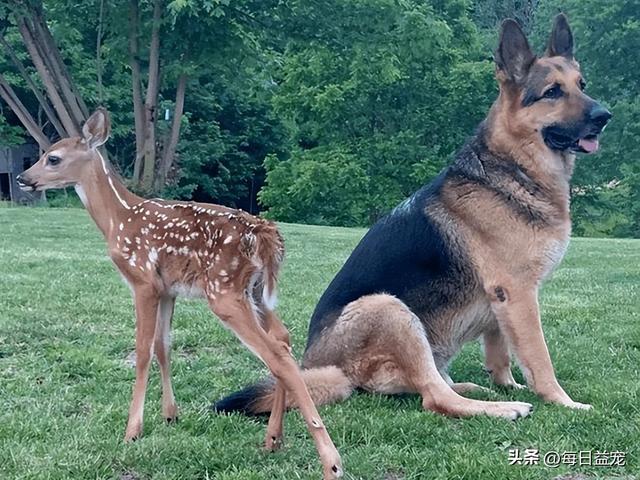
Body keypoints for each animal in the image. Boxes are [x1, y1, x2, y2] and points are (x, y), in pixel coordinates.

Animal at [215, 15, 608, 420]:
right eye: (552, 92)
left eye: (581, 85)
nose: (604, 116)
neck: (514, 165)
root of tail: (327, 368)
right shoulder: (517, 294)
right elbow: (539, 357)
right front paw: (561, 400)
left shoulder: (502, 302)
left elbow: (499, 351)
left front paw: (508, 383)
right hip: (389, 308)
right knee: (434, 395)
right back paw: (499, 407)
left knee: (434, 383)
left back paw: (479, 389)